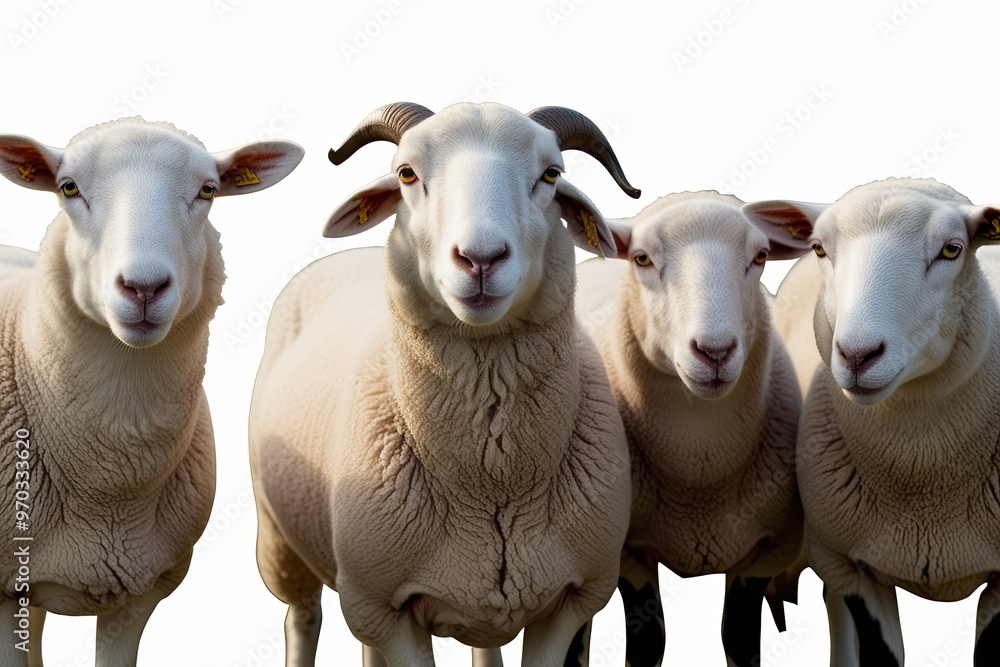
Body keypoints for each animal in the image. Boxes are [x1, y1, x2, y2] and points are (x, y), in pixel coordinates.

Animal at [0, 117, 303, 667]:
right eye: (68, 187)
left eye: (208, 190)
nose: (143, 288)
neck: (109, 483)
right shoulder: (4, 589)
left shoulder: (138, 591)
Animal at [248, 101, 639, 667]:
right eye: (407, 174)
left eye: (551, 174)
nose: (481, 259)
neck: (493, 482)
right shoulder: (382, 606)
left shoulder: (576, 597)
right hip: (283, 543)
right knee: (302, 617)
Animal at [573, 191, 805, 667]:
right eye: (642, 258)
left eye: (761, 256)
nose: (714, 352)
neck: (698, 462)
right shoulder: (628, 553)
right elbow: (648, 644)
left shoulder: (768, 549)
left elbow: (738, 637)